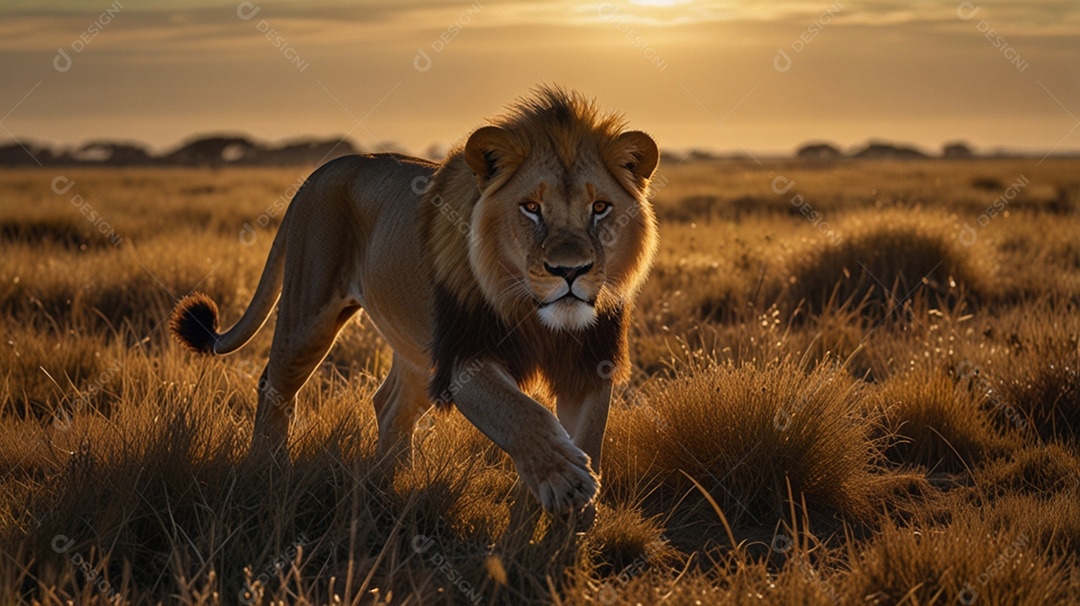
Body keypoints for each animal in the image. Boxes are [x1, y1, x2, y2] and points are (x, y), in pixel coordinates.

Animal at [169, 86, 659, 518]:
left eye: (600, 208)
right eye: (531, 208)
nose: (570, 270)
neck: (537, 315)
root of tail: (321, 171)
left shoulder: (591, 363)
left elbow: (586, 436)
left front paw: (559, 532)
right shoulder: (463, 356)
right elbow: (523, 414)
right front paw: (567, 481)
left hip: (417, 348)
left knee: (387, 404)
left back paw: (392, 481)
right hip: (308, 316)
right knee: (273, 383)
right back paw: (268, 471)